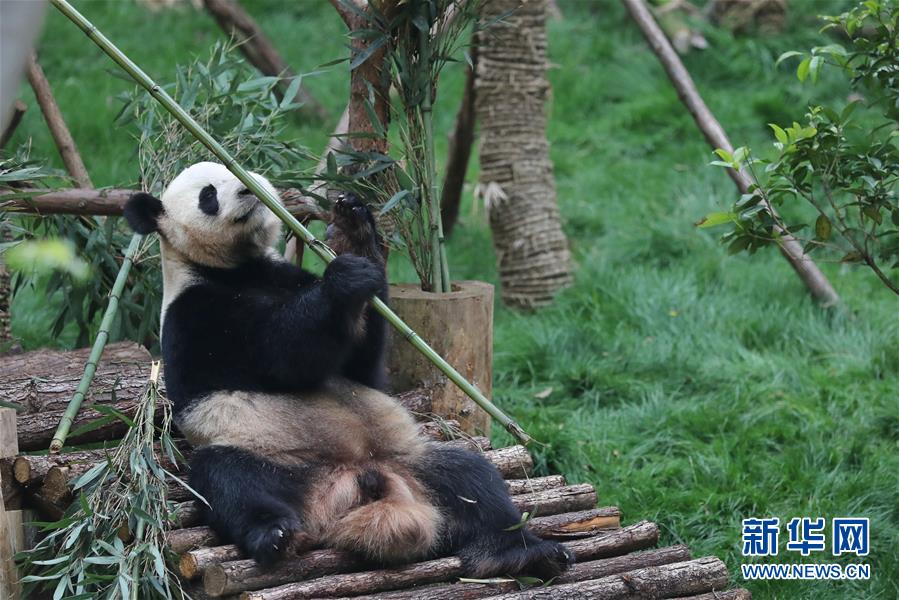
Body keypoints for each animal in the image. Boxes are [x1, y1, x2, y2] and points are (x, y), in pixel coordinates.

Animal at [124, 161, 572, 577]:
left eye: (244, 173)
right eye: (209, 195)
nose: (247, 191)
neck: (238, 267)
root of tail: (360, 482)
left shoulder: (286, 276)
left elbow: (362, 364)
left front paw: (354, 227)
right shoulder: (198, 313)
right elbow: (281, 356)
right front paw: (344, 278)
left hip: (414, 460)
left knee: (473, 481)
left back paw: (521, 553)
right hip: (268, 454)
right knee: (228, 482)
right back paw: (276, 535)